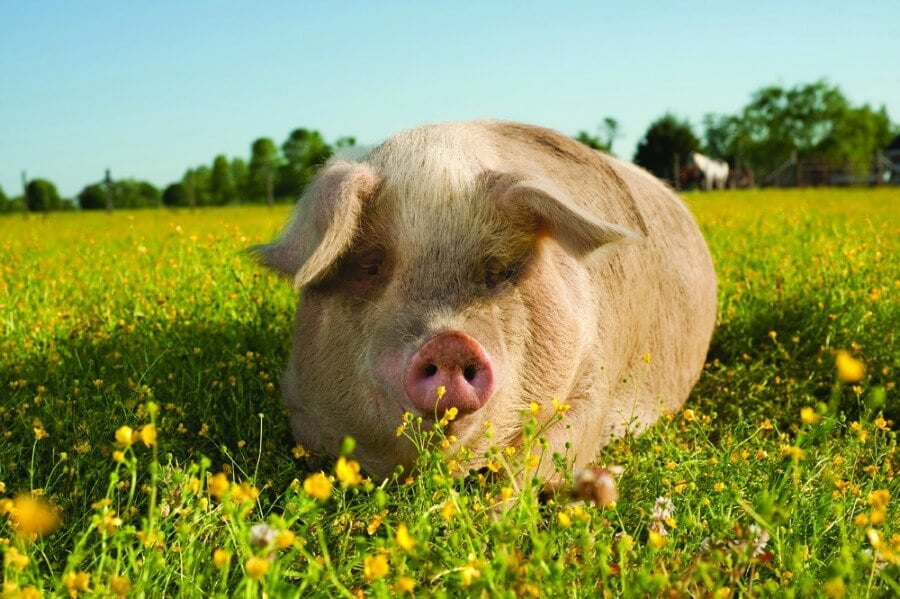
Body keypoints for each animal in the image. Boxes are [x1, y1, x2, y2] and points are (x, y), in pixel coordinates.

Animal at [255, 119, 716, 480]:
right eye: (370, 266)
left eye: (497, 270)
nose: (450, 343)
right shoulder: (298, 401)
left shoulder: (593, 377)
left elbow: (539, 462)